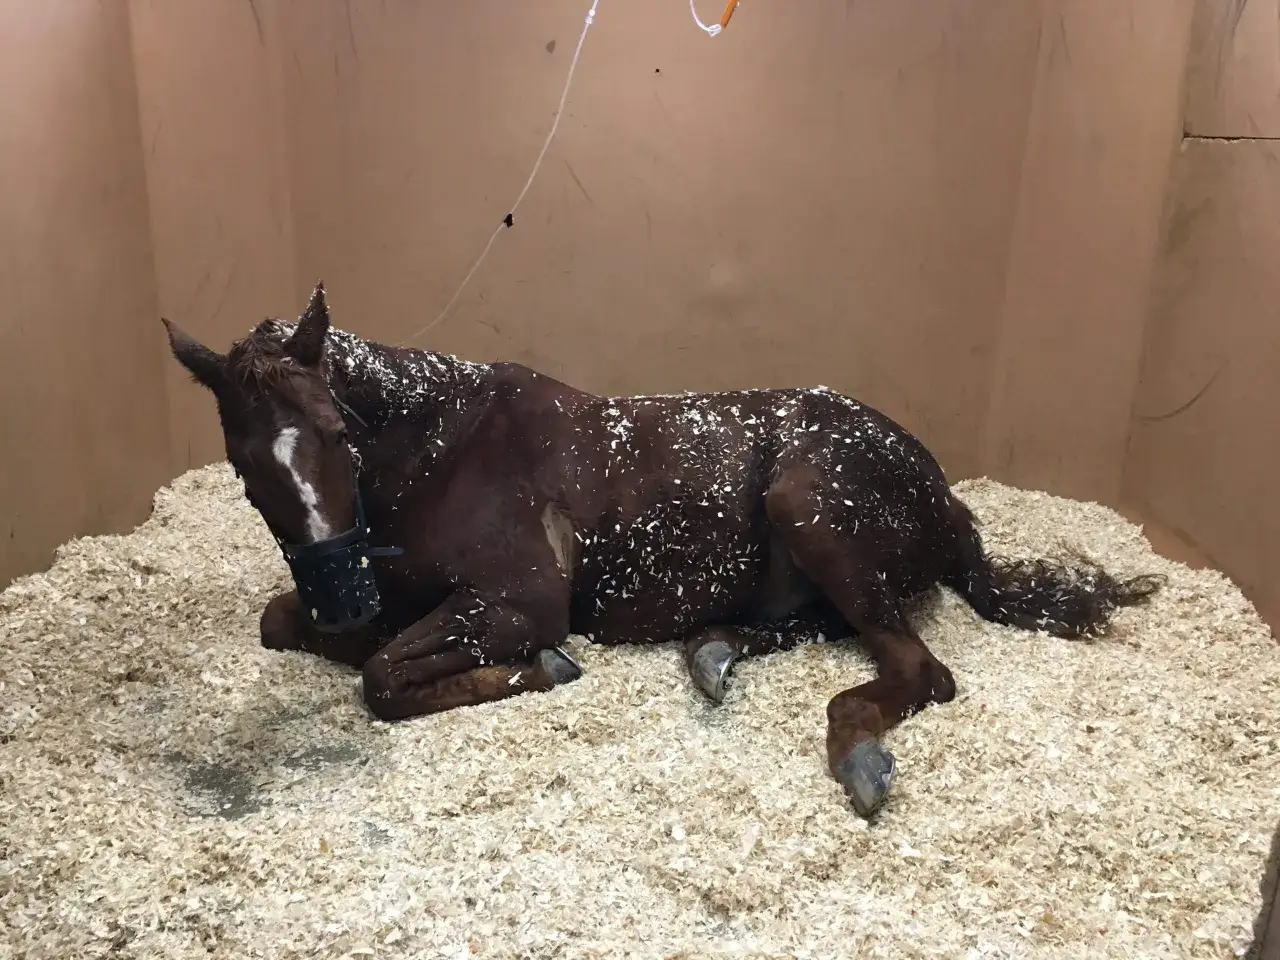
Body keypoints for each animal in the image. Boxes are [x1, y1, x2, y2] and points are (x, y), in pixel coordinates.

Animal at [162, 283, 1162, 817]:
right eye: (242, 463)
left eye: (338, 432)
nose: (345, 600)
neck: (443, 449)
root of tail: (949, 501)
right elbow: (287, 625)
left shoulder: (519, 600)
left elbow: (383, 675)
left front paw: (541, 668)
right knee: (821, 631)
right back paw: (713, 652)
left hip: (811, 506)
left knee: (918, 670)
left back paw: (855, 754)